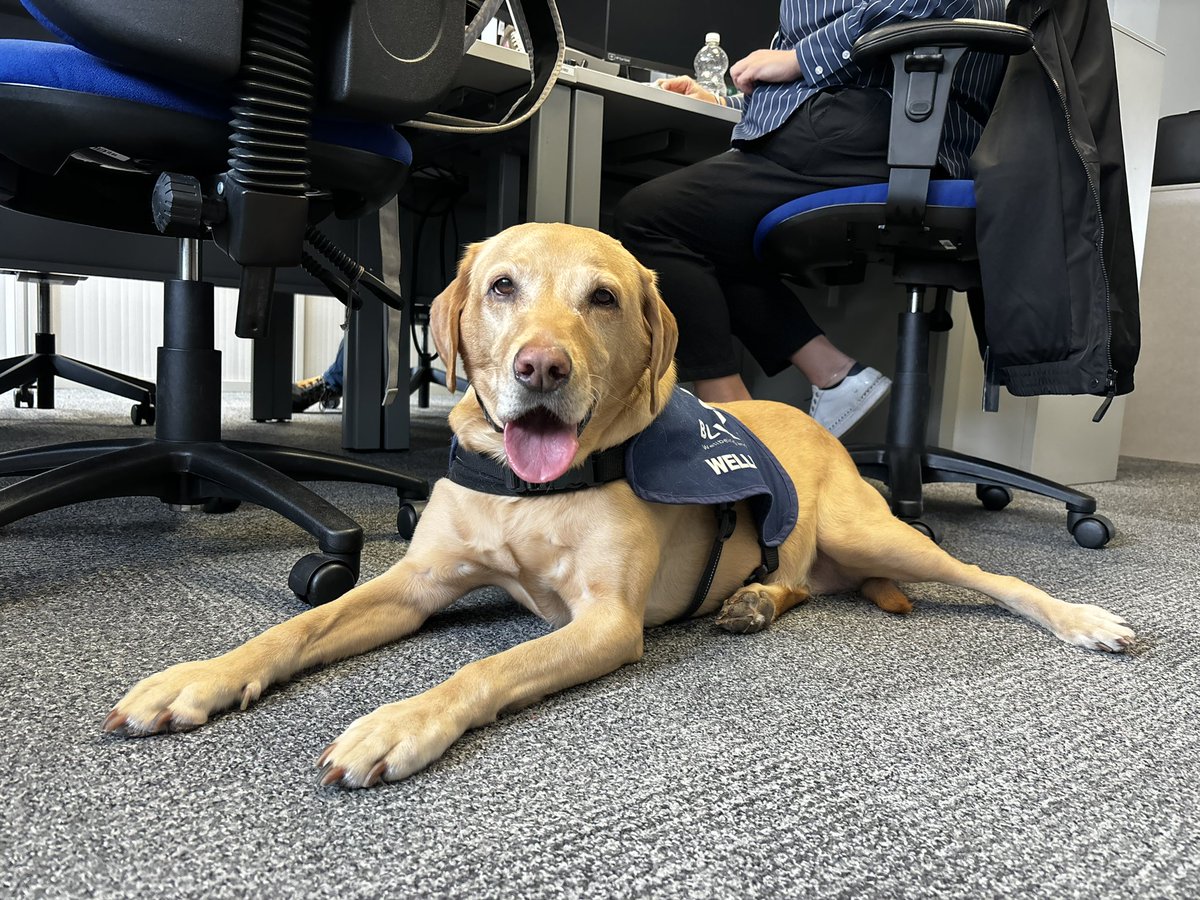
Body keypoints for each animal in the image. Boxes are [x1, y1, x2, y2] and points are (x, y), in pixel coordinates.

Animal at [105, 222, 1132, 787]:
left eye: (602, 298)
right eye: (501, 286)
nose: (540, 369)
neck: (531, 493)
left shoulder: (604, 622)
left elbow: (483, 668)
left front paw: (402, 722)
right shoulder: (417, 584)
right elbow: (292, 630)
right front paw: (195, 678)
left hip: (874, 529)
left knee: (994, 577)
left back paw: (1084, 618)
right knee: (797, 579)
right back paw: (752, 601)